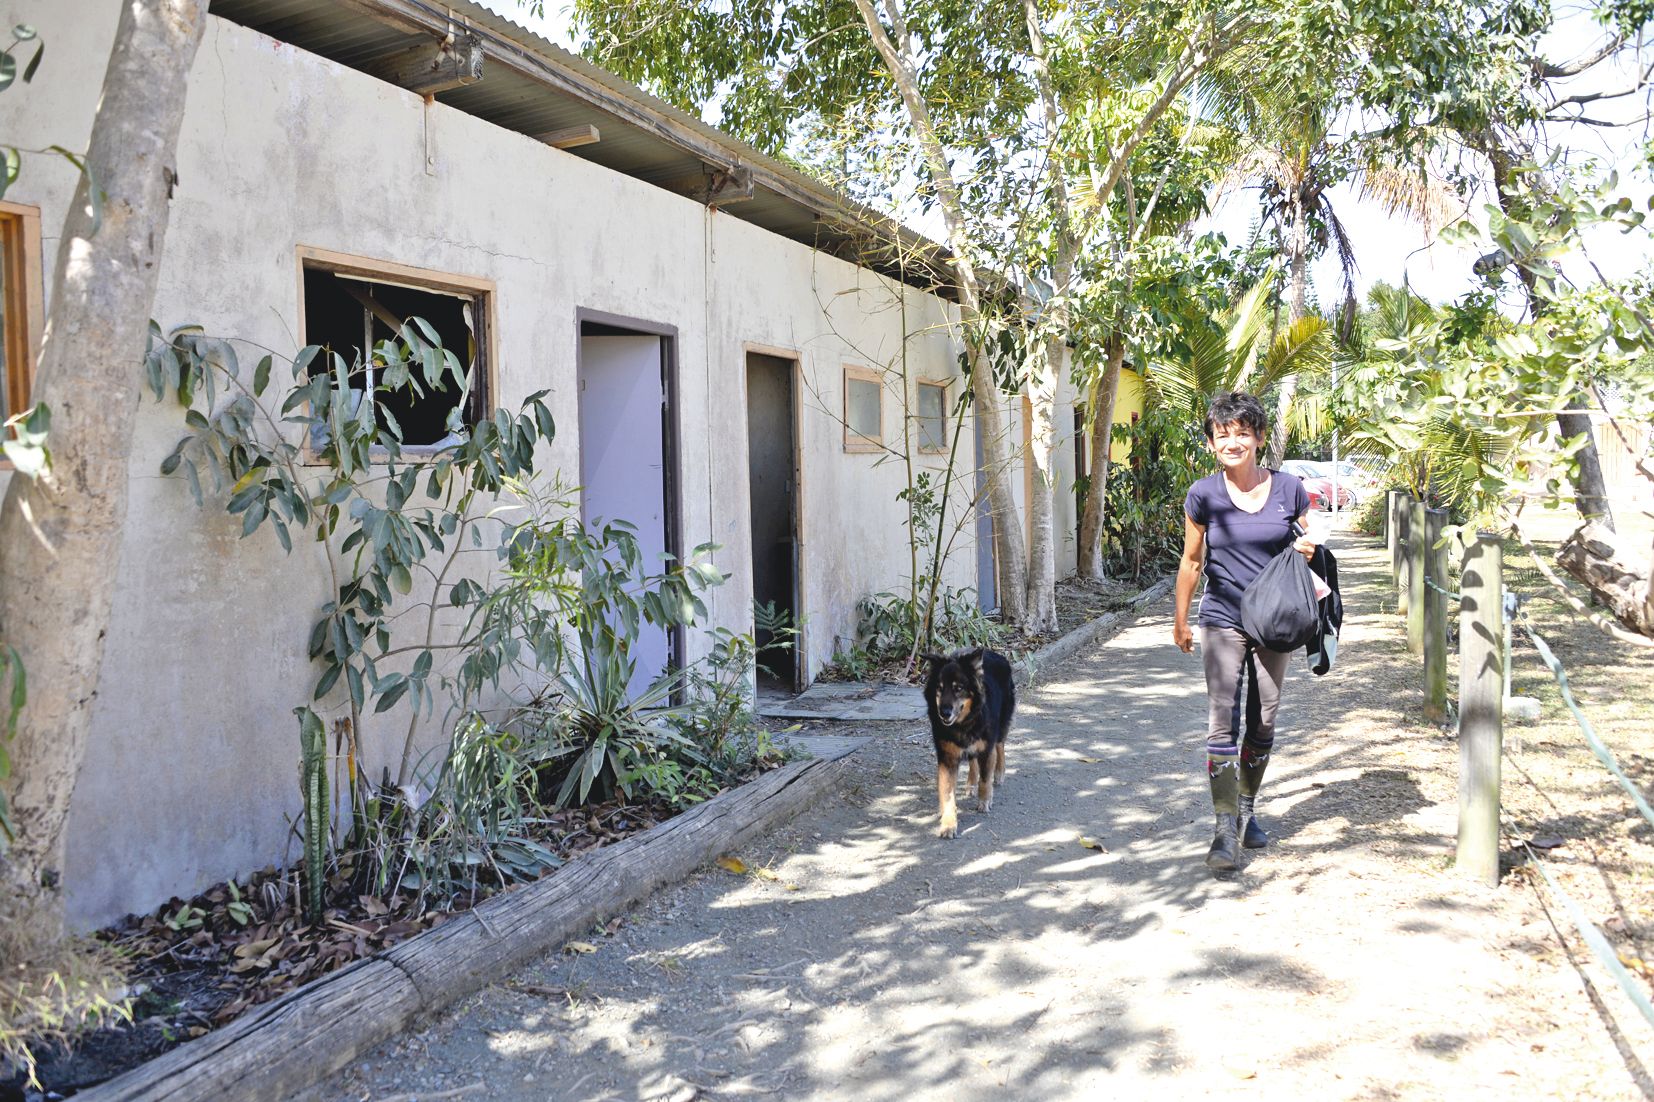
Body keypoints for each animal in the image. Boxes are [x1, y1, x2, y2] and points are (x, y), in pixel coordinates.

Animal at [926, 645, 1012, 833]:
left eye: (958, 688)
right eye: (939, 688)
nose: (944, 713)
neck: (963, 724)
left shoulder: (986, 749)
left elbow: (985, 779)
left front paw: (985, 801)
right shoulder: (948, 757)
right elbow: (948, 793)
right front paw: (948, 824)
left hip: (1001, 723)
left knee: (1000, 746)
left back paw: (999, 773)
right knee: (973, 760)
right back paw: (971, 783)